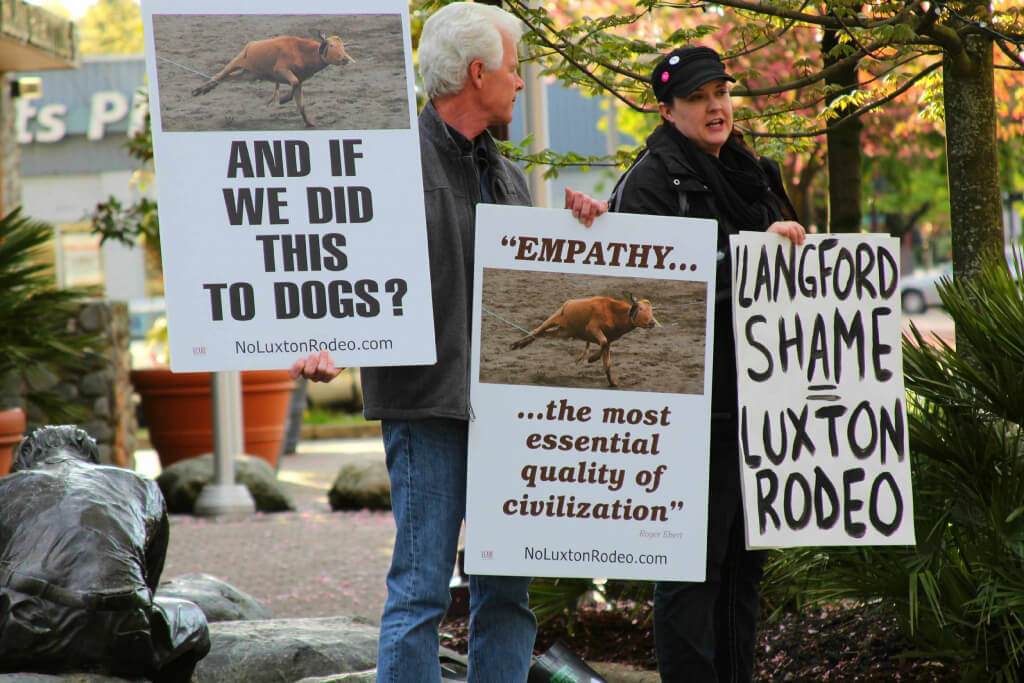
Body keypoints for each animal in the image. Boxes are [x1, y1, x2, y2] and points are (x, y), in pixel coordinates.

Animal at [191, 32, 352, 127]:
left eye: (343, 47)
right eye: (332, 45)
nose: (345, 58)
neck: (302, 51)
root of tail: (251, 45)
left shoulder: (299, 79)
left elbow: (300, 101)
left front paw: (309, 122)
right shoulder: (280, 70)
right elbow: (293, 85)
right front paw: (284, 99)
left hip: (250, 74)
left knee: (227, 78)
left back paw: (206, 89)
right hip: (237, 61)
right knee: (220, 74)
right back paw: (199, 89)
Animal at [507, 294, 659, 387]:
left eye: (651, 311)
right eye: (641, 309)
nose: (652, 322)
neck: (613, 313)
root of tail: (568, 303)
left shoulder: (609, 341)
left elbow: (607, 362)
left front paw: (612, 382)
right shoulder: (593, 328)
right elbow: (602, 343)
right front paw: (592, 358)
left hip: (564, 331)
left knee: (543, 334)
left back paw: (523, 344)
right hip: (554, 319)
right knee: (537, 330)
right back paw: (516, 344)